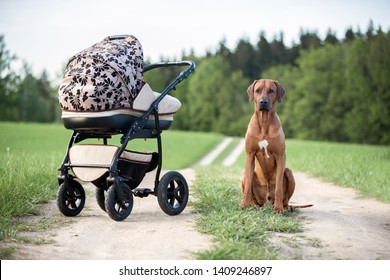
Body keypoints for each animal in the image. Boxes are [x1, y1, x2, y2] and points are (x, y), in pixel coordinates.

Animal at [242, 80, 294, 213]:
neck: (264, 121)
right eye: (258, 90)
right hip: (245, 176)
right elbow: (248, 187)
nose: (263, 102)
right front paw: (244, 205)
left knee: (285, 198)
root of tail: (266, 201)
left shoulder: (280, 156)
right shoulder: (249, 155)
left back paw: (286, 207)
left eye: (271, 90)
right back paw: (254, 205)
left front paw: (278, 208)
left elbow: (279, 188)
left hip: (289, 172)